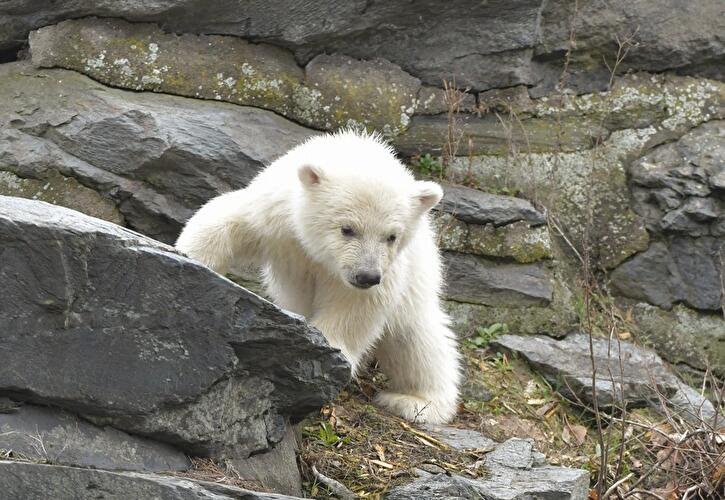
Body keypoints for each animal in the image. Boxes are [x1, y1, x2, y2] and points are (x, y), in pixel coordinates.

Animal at [176, 129, 461, 423]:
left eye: (392, 236)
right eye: (347, 229)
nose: (367, 276)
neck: (319, 254)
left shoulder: (383, 273)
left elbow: (356, 306)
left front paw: (328, 349)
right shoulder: (276, 215)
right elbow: (226, 220)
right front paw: (190, 264)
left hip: (415, 290)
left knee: (418, 342)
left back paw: (415, 401)